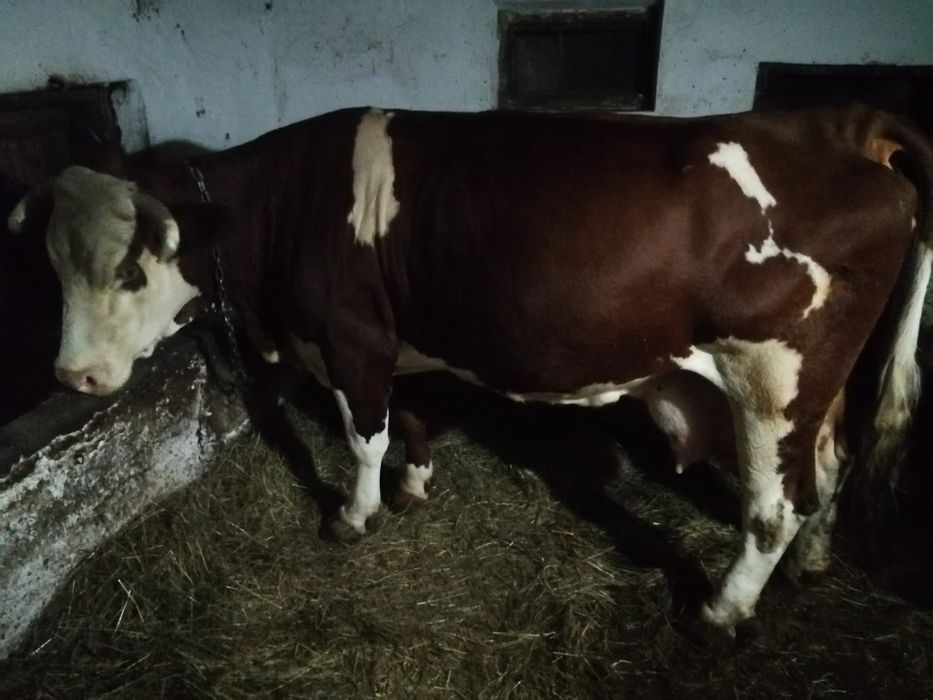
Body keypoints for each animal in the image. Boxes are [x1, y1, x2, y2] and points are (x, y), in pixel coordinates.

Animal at [8, 105, 931, 633]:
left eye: (130, 270)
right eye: (50, 266)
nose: (72, 377)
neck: (281, 211)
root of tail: (838, 129)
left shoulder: (352, 338)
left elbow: (363, 436)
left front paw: (355, 515)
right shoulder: (403, 334)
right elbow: (410, 418)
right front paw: (414, 488)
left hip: (773, 377)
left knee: (772, 508)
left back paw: (721, 609)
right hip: (818, 387)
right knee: (829, 468)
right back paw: (812, 562)